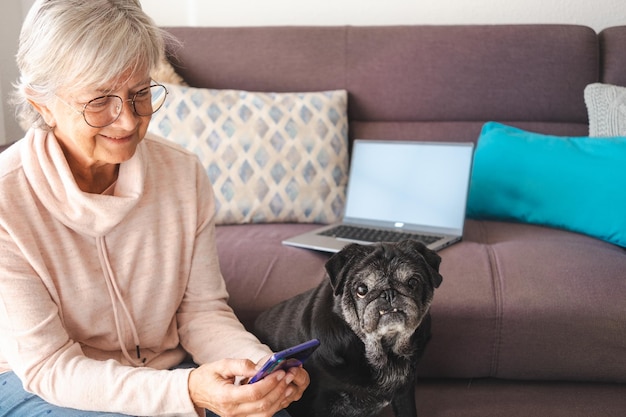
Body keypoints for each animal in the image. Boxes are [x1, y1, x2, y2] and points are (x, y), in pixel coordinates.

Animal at [251, 237, 442, 416]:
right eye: (361, 289)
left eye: (413, 283)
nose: (388, 293)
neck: (385, 353)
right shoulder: (322, 405)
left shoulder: (404, 394)